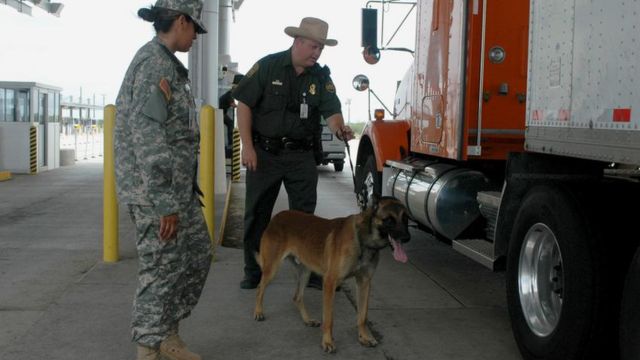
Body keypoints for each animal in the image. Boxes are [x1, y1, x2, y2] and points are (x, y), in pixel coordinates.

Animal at [251, 195, 410, 352]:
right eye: (389, 220)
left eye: (405, 219)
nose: (407, 238)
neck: (362, 238)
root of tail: (278, 216)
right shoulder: (329, 282)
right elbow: (329, 319)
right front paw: (327, 341)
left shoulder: (364, 282)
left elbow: (362, 316)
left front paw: (364, 337)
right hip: (272, 269)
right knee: (260, 288)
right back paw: (258, 312)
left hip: (305, 272)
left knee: (297, 297)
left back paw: (308, 320)